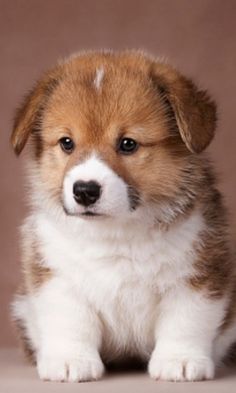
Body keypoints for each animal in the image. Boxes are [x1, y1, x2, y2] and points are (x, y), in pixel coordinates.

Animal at [11, 50, 236, 382]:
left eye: (128, 144)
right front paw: (70, 361)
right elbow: (70, 322)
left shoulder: (199, 275)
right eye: (67, 143)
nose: (85, 191)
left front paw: (180, 361)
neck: (117, 232)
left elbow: (186, 322)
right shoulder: (57, 276)